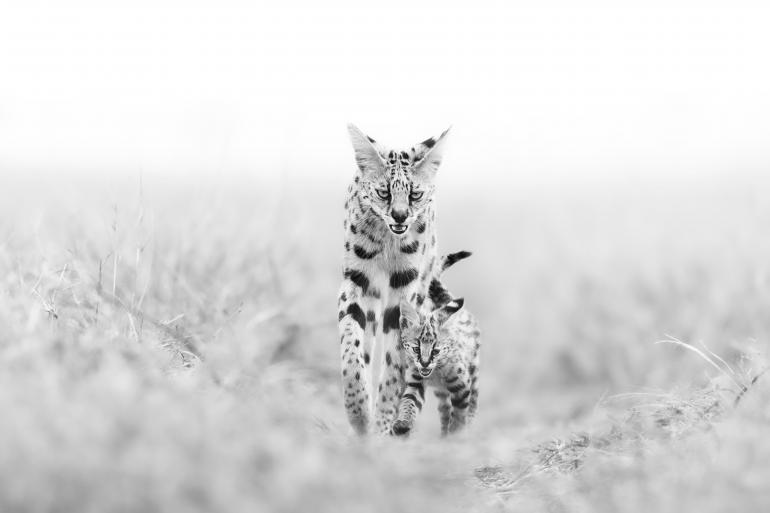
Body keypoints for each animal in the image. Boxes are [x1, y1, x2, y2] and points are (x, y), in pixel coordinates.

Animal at [336, 123, 450, 432]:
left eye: (415, 195)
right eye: (383, 192)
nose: (399, 216)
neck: (388, 240)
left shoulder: (406, 289)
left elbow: (396, 360)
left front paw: (385, 418)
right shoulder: (356, 281)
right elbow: (351, 345)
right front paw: (358, 410)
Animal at [392, 296, 476, 436]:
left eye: (435, 351)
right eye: (416, 349)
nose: (425, 363)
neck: (435, 372)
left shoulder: (461, 384)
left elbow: (460, 412)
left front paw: (457, 433)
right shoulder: (416, 381)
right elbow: (409, 401)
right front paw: (403, 422)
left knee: (472, 404)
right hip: (442, 393)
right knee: (445, 408)